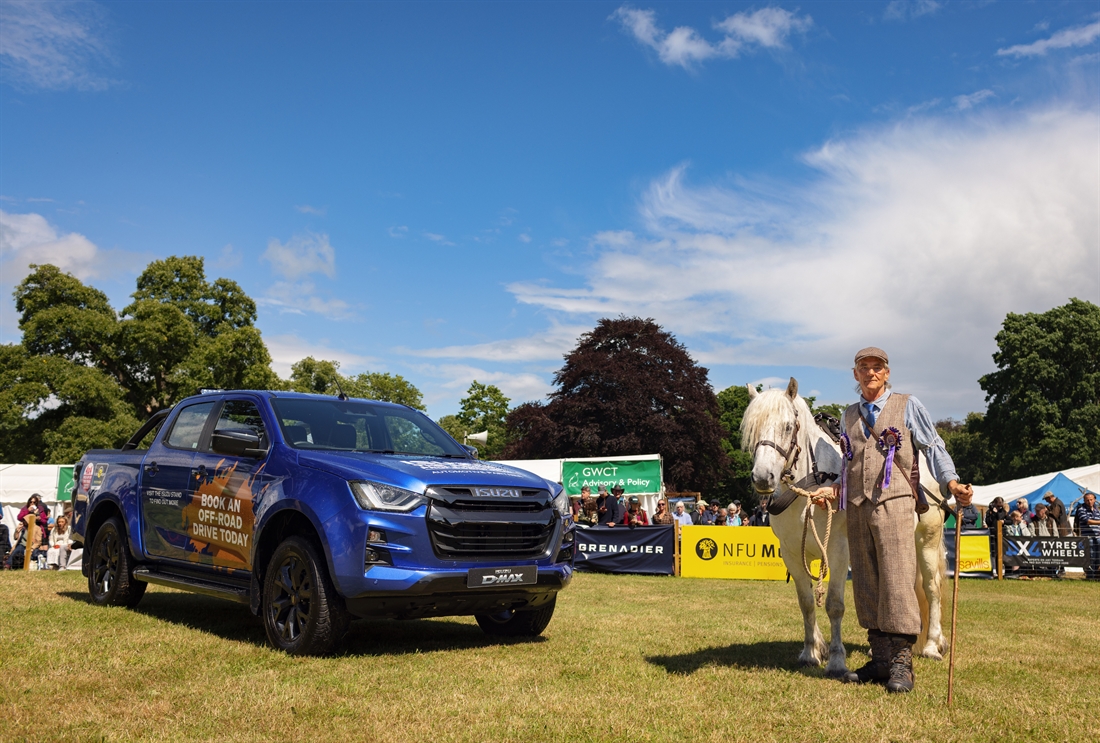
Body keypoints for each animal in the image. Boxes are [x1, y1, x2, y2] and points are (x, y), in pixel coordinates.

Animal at [743, 380, 950, 678]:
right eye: (753, 428)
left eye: (787, 426)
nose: (762, 477)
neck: (810, 487)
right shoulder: (792, 553)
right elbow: (806, 602)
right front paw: (811, 651)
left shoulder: (838, 550)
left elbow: (835, 605)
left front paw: (837, 660)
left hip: (926, 541)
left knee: (932, 588)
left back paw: (933, 644)